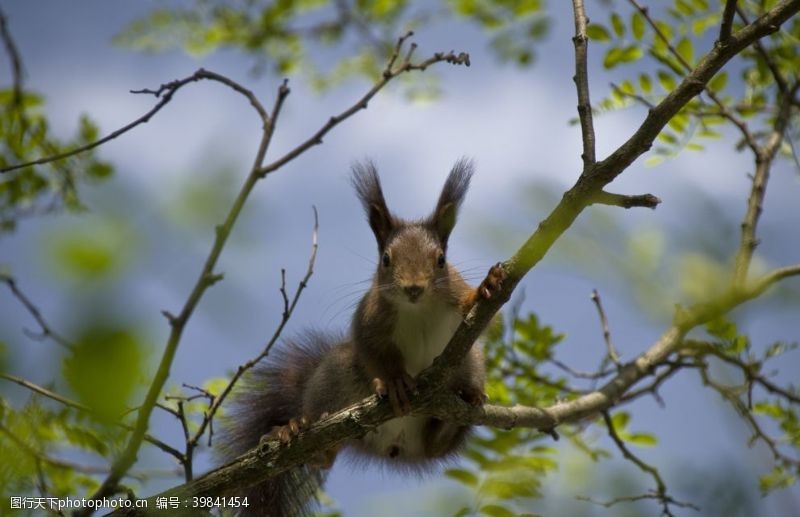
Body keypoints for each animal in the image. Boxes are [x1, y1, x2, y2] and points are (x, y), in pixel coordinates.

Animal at [219, 159, 506, 512]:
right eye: (386, 259)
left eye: (441, 260)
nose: (413, 288)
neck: (417, 309)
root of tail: (395, 447)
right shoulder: (369, 317)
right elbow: (372, 351)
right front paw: (394, 381)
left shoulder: (454, 293)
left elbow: (482, 313)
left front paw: (488, 285)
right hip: (337, 375)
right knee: (325, 450)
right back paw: (296, 429)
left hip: (469, 362)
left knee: (439, 443)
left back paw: (467, 401)